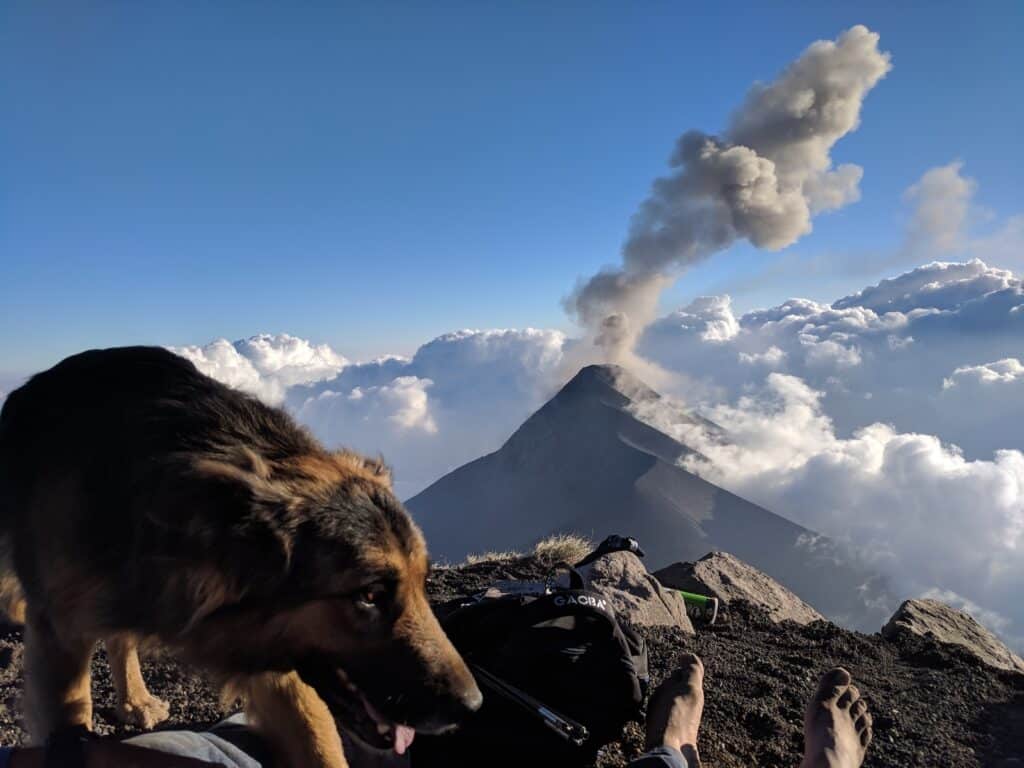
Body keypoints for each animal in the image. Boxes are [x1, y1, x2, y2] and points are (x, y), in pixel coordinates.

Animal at [0, 350, 481, 768]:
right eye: (369, 594)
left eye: (423, 583)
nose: (473, 706)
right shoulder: (60, 631)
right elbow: (71, 724)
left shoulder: (276, 657)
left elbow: (318, 742)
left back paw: (136, 698)